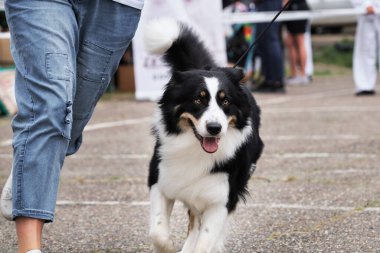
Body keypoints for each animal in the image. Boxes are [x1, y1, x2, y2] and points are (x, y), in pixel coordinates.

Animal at [144, 19, 262, 253]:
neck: (195, 149)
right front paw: (168, 247)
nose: (215, 128)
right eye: (198, 100)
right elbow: (158, 232)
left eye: (225, 101)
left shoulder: (221, 199)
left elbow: (205, 239)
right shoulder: (160, 180)